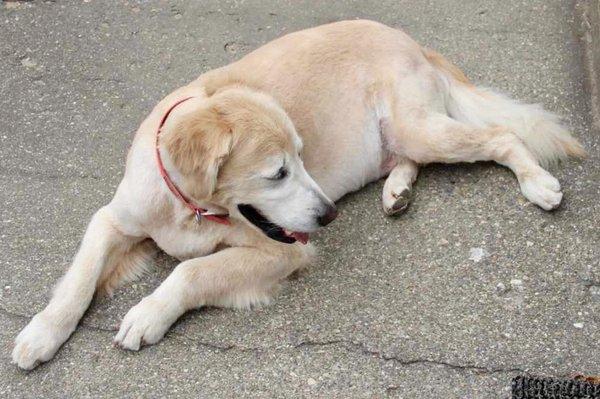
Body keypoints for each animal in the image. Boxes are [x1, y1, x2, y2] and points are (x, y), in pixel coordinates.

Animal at [11, 18, 584, 368]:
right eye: (277, 173)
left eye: (302, 159)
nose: (329, 216)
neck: (191, 208)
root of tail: (407, 37)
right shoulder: (113, 219)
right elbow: (78, 280)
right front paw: (42, 334)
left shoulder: (284, 251)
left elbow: (191, 271)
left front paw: (149, 313)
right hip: (406, 135)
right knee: (413, 158)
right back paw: (397, 191)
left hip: (420, 127)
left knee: (501, 135)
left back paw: (537, 183)